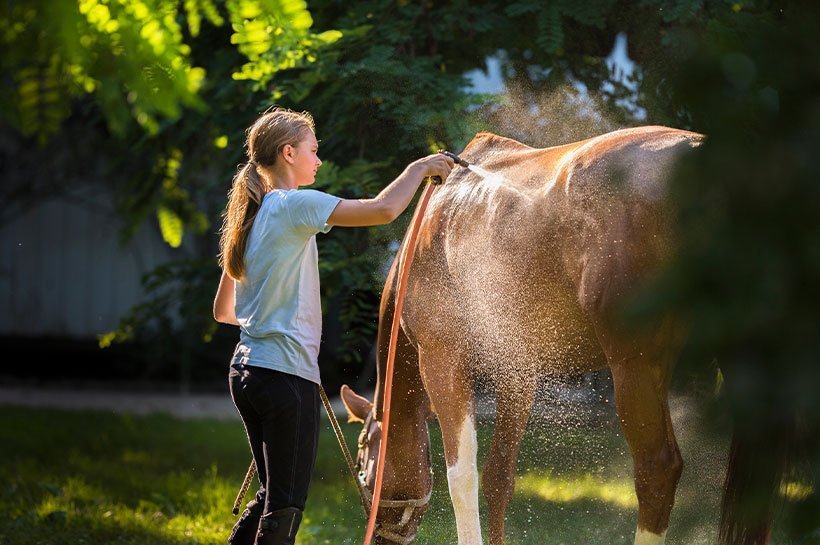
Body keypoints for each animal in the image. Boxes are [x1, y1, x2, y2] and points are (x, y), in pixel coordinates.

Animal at [338, 126, 764, 544]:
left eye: (362, 465)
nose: (376, 534)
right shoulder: (517, 374)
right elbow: (498, 479)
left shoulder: (442, 362)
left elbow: (462, 478)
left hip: (636, 367)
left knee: (657, 468)